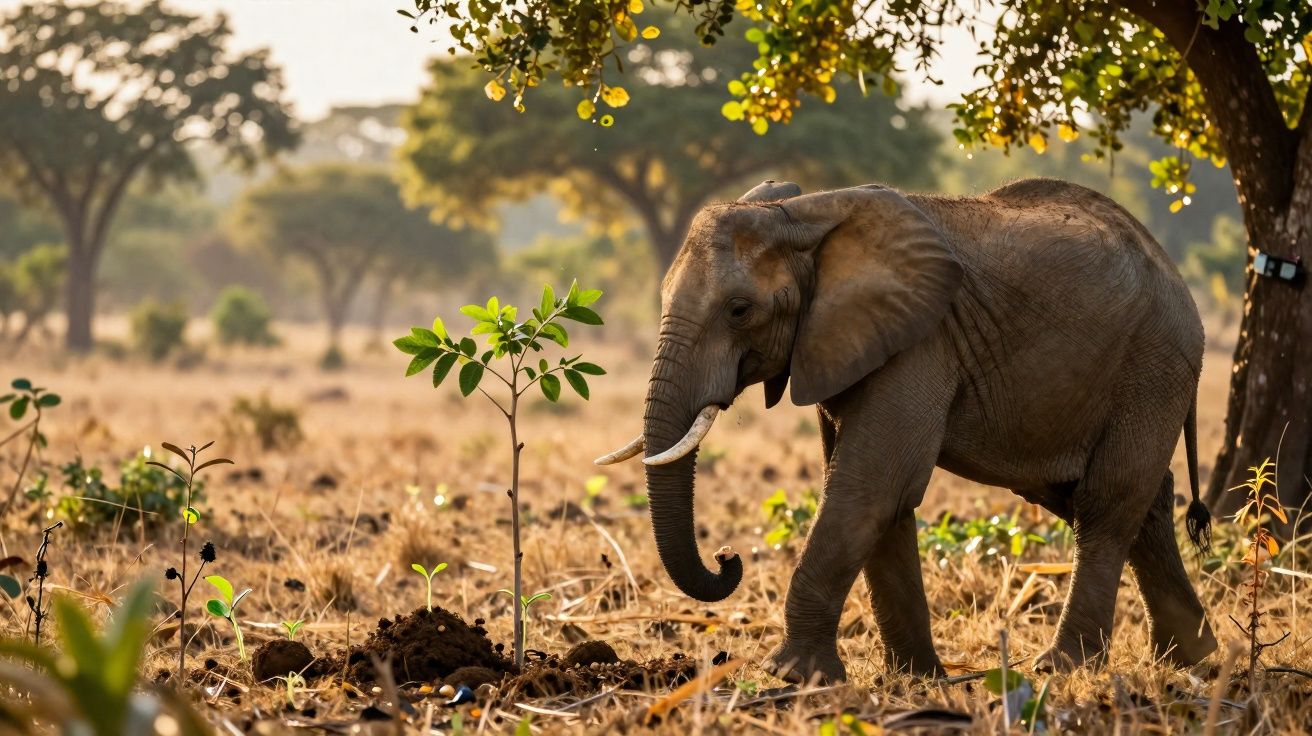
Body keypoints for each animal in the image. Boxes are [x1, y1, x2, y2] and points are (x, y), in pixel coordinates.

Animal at [596, 177, 1219, 683]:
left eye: (739, 310)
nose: (728, 557)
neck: (802, 213)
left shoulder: (919, 342)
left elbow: (870, 488)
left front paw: (794, 677)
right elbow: (879, 499)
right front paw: (915, 679)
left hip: (1154, 363)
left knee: (1105, 504)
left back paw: (1065, 667)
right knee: (1129, 504)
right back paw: (1191, 658)